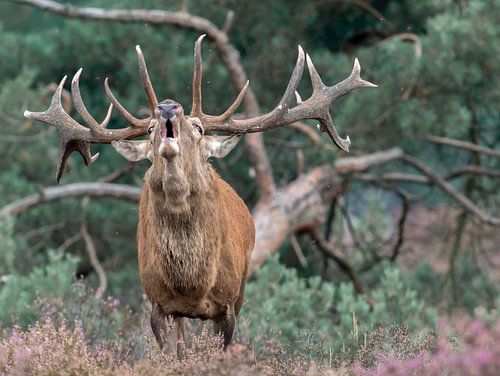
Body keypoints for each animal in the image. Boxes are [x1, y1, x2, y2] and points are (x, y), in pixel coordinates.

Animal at [22, 33, 376, 352]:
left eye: (200, 128)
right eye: (149, 129)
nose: (167, 106)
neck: (191, 283)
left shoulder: (228, 305)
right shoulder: (157, 303)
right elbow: (171, 355)